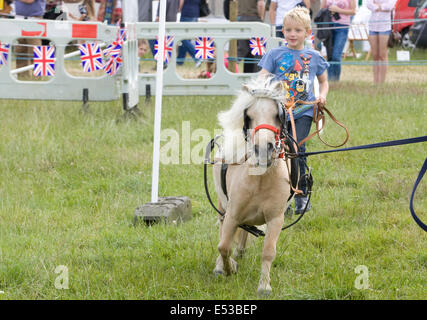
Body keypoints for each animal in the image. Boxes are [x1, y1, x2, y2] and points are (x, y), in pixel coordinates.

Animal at [212, 76, 292, 296]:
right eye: (249, 115)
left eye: (277, 115)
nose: (263, 149)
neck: (260, 180)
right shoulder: (232, 215)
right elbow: (223, 246)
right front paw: (229, 268)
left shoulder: (275, 219)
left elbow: (268, 252)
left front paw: (264, 286)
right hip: (222, 207)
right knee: (223, 234)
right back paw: (221, 266)